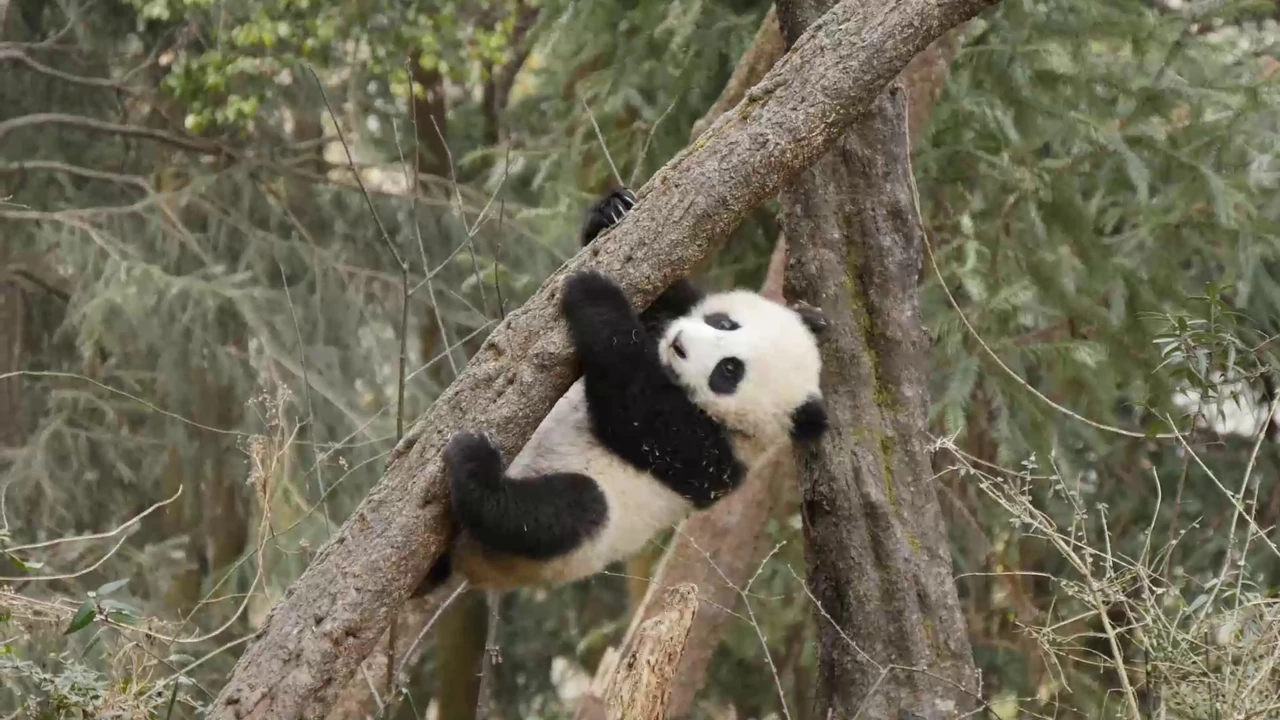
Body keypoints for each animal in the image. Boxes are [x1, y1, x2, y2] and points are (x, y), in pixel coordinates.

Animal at [414, 187, 828, 594]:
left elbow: (637, 414)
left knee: (558, 512)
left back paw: (475, 467)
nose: (679, 344)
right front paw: (613, 209)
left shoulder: (713, 458)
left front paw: (594, 293)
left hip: (575, 534)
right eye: (724, 323)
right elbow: (663, 297)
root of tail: (467, 565)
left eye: (728, 371)